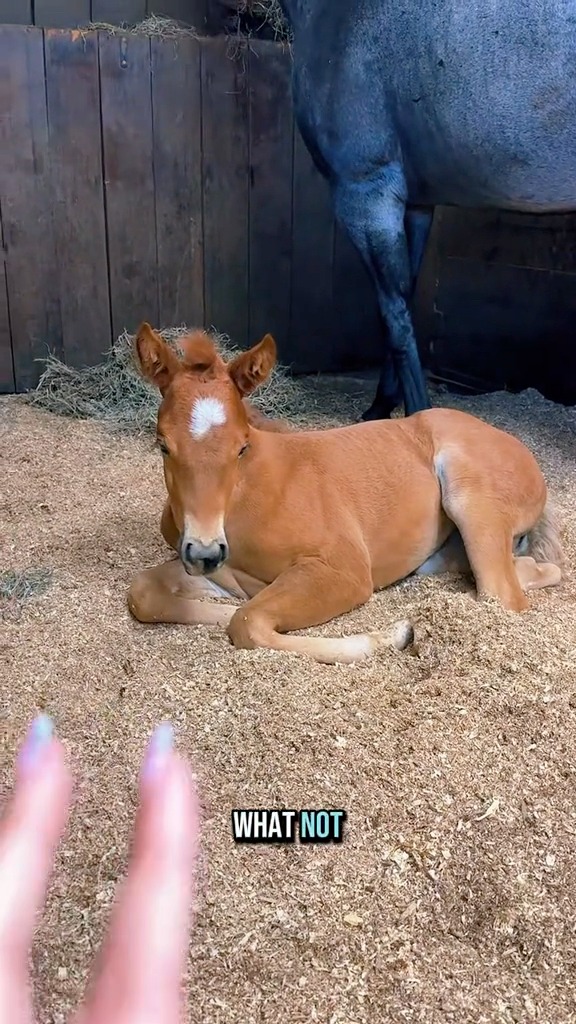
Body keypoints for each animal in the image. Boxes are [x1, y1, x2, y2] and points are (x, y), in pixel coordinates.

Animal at [126, 323, 564, 665]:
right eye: (163, 444)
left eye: (241, 446)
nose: (205, 551)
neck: (246, 499)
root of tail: (519, 448)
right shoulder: (219, 571)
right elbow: (145, 595)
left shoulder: (343, 569)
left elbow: (248, 622)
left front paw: (400, 633)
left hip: (469, 500)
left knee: (502, 594)